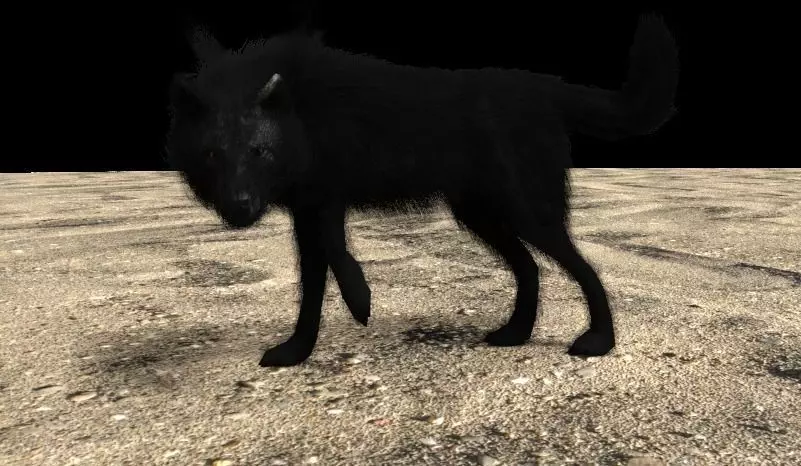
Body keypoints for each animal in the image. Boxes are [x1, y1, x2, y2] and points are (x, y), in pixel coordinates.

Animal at [165, 15, 678, 367]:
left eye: (259, 152)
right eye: (212, 154)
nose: (239, 209)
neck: (300, 112)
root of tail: (543, 87)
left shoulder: (323, 200)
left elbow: (333, 259)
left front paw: (360, 300)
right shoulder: (311, 210)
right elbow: (313, 282)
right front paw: (297, 351)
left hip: (526, 212)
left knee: (584, 269)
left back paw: (599, 341)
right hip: (481, 214)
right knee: (530, 268)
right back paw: (515, 333)